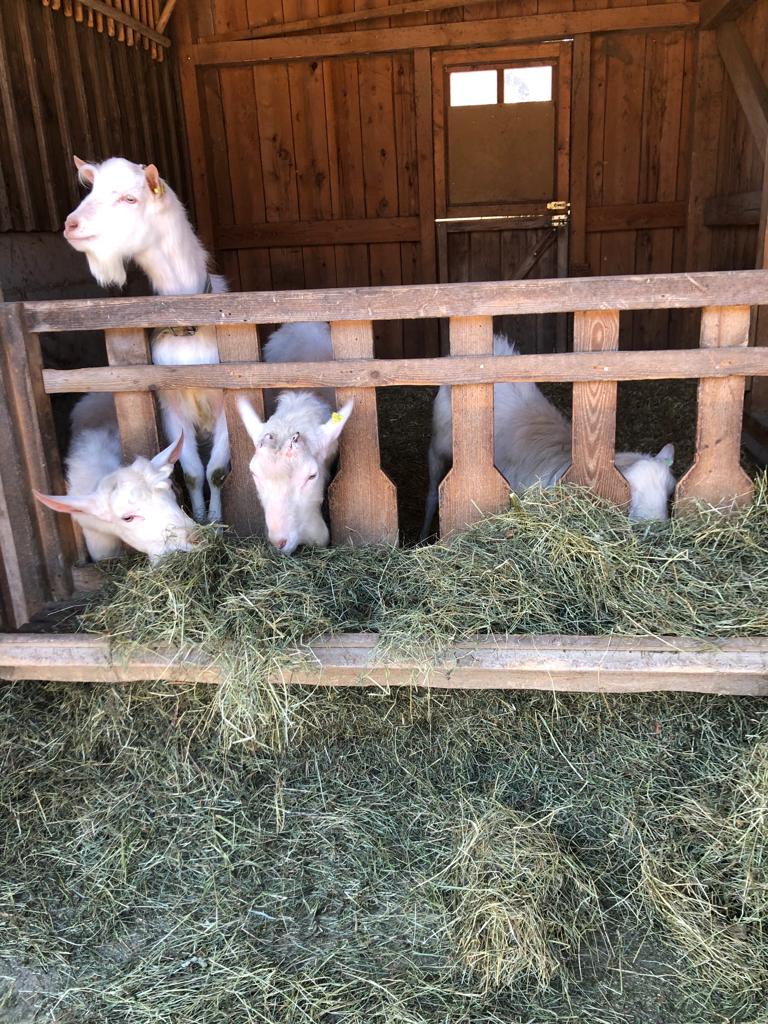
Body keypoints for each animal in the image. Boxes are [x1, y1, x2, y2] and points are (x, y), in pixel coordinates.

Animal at [63, 155, 228, 524]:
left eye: (130, 198)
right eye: (91, 190)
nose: (71, 224)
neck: (189, 326)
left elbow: (216, 471)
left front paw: (215, 520)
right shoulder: (170, 403)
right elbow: (193, 472)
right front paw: (200, 517)